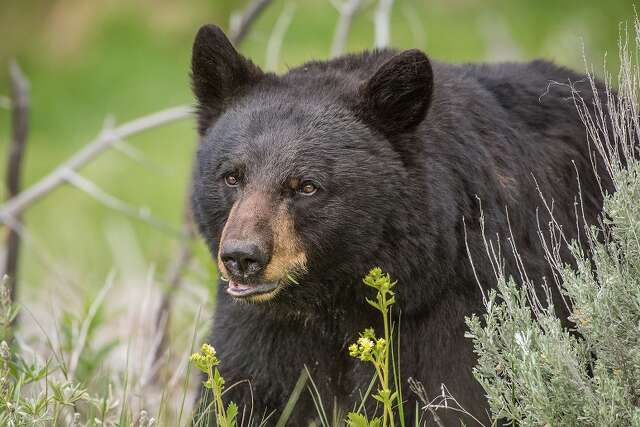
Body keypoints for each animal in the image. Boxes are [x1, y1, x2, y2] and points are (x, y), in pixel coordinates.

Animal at [189, 24, 611, 425]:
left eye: (306, 186)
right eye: (232, 176)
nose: (242, 257)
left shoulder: (468, 304)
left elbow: (462, 398)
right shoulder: (262, 331)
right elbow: (240, 393)